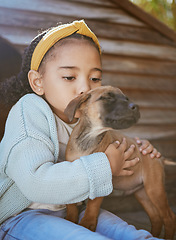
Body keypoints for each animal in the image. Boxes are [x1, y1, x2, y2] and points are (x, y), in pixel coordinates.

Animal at [64, 85, 176, 239]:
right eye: (107, 97)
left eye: (126, 98)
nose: (135, 106)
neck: (89, 138)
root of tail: (160, 158)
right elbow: (71, 205)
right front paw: (70, 219)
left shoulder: (101, 179)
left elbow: (92, 206)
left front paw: (87, 224)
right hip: (142, 193)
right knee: (156, 217)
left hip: (154, 189)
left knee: (169, 217)